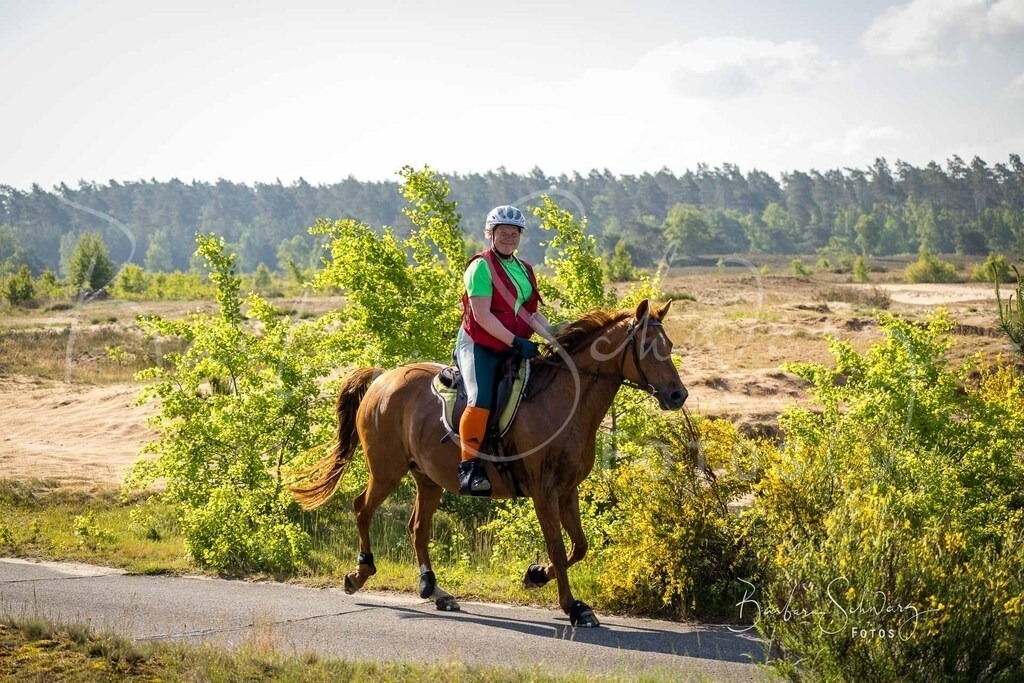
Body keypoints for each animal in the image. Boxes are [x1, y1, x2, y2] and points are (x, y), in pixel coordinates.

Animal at [289, 299, 687, 627]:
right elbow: (559, 548)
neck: (565, 400)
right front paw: (573, 607)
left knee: (418, 527)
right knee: (362, 509)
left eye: (669, 346)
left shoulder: (567, 490)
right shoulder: (543, 492)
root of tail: (382, 378)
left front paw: (535, 575)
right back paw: (360, 574)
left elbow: (579, 546)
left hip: (428, 478)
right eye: (648, 348)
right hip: (387, 470)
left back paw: (434, 590)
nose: (677, 395)